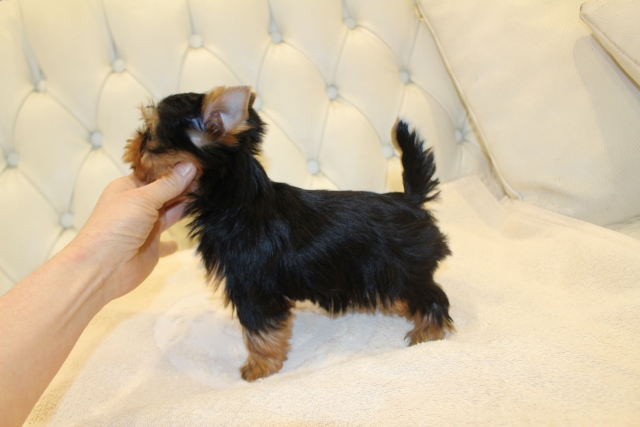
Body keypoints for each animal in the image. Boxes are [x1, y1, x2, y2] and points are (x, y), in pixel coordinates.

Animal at [124, 86, 453, 381]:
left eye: (150, 135)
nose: (133, 143)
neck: (237, 201)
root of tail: (410, 199)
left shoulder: (250, 285)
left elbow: (257, 328)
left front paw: (259, 366)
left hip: (399, 267)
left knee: (432, 296)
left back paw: (428, 331)